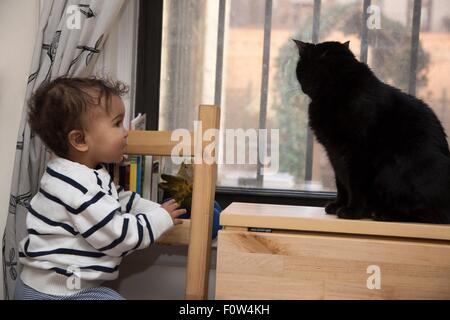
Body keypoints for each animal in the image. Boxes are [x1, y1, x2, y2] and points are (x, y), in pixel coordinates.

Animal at [294, 40, 448, 224]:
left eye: (300, 68)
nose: (301, 86)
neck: (339, 88)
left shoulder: (357, 154)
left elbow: (355, 185)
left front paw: (351, 211)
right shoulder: (334, 153)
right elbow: (341, 183)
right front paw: (338, 205)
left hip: (391, 172)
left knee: (425, 214)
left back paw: (383, 214)